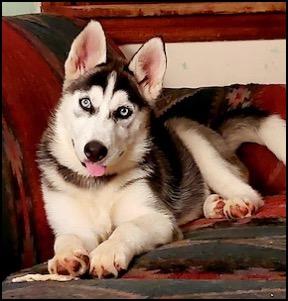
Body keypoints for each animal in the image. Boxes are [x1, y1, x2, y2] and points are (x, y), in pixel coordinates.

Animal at [37, 20, 286, 276]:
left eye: (123, 111)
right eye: (85, 103)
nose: (95, 151)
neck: (97, 185)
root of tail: (219, 135)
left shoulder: (159, 218)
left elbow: (127, 227)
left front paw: (107, 252)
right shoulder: (73, 224)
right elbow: (67, 237)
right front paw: (66, 256)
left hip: (189, 135)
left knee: (245, 189)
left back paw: (237, 202)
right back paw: (213, 205)